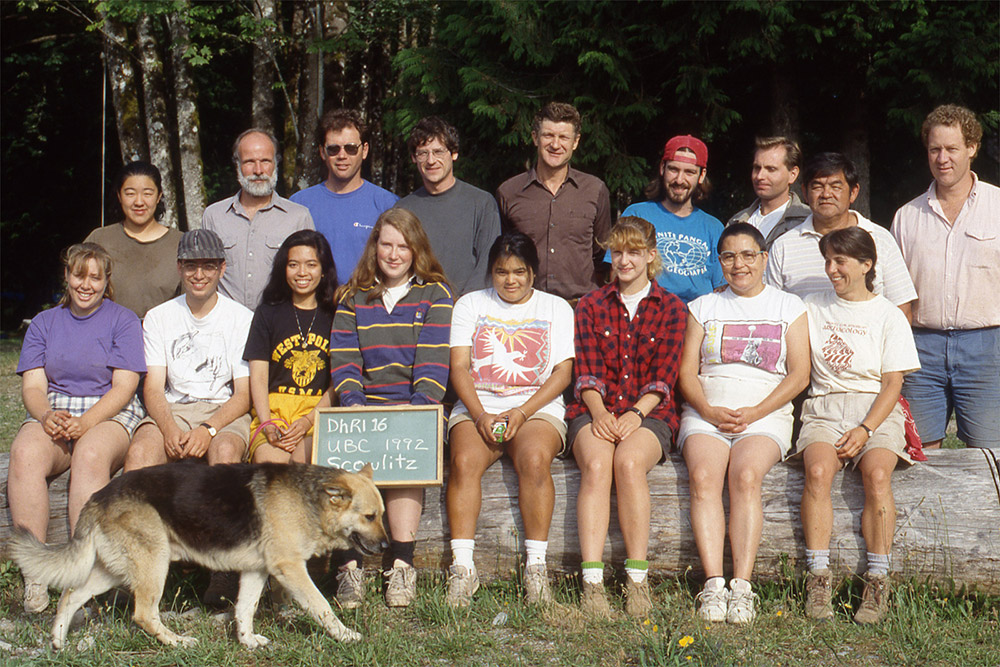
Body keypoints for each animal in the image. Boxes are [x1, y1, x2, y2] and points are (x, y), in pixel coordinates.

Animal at [9, 462, 388, 648]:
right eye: (370, 517)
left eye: (382, 514)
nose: (386, 547)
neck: (310, 499)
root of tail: (99, 495)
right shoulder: (290, 570)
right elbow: (322, 608)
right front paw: (346, 637)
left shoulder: (257, 572)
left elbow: (245, 609)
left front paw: (247, 642)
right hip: (154, 566)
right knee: (143, 615)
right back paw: (177, 643)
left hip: (114, 571)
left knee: (70, 595)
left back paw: (58, 642)